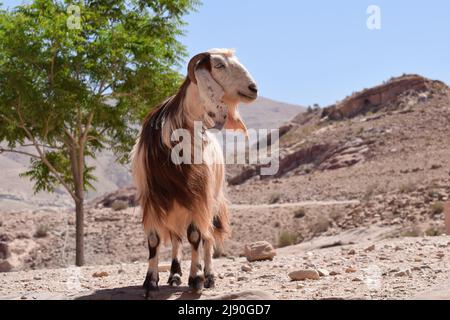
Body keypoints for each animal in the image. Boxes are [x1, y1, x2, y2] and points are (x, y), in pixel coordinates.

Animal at [130, 48, 256, 296]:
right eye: (219, 65)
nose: (253, 88)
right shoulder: (153, 197)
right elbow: (154, 239)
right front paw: (150, 282)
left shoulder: (199, 197)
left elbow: (196, 235)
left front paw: (196, 279)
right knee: (176, 237)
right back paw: (174, 275)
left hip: (212, 200)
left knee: (206, 237)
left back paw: (208, 276)